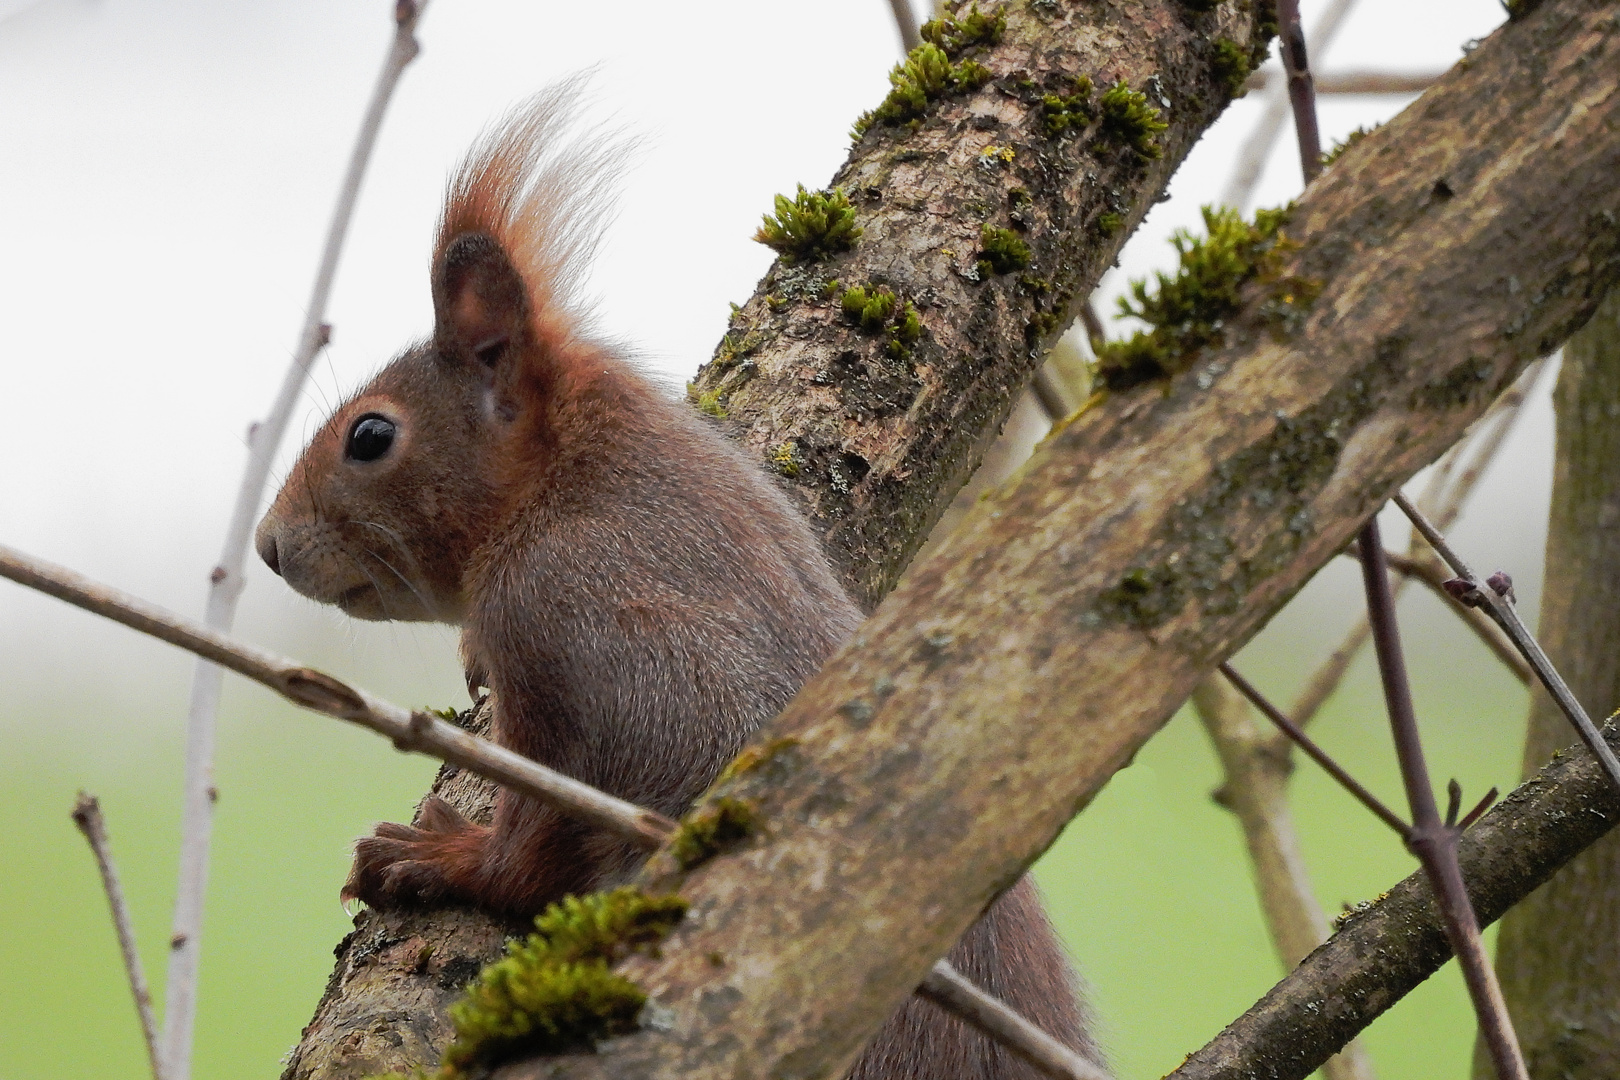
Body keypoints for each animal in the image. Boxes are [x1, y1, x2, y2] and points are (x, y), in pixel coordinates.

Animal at [255, 86, 1101, 1080]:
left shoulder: (575, 633)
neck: (565, 479)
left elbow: (532, 858)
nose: (268, 546)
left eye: (371, 436)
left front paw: (433, 858)